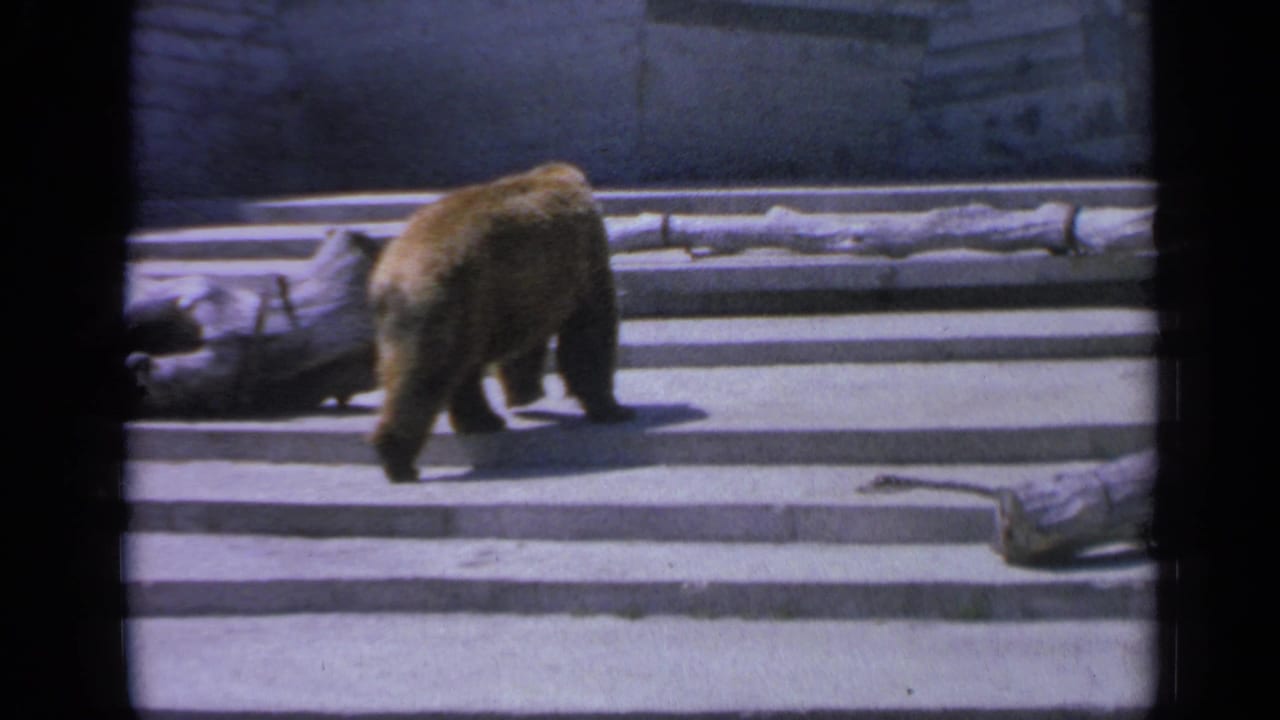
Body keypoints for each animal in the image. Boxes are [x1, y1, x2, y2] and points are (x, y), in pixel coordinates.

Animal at [367, 162, 634, 482]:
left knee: (456, 371)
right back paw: (398, 459)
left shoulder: (521, 294)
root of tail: (392, 277)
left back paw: (483, 420)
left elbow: (527, 344)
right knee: (425, 376)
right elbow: (589, 333)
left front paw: (524, 393)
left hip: (458, 310)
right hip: (447, 306)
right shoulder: (583, 259)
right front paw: (613, 408)